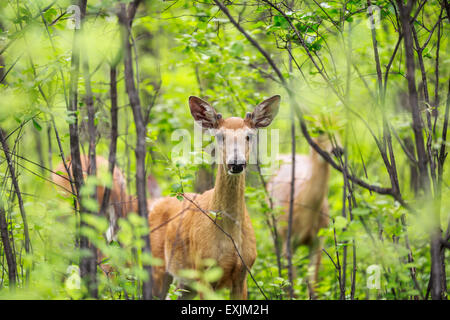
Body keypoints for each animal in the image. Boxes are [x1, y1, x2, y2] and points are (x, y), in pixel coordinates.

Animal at [148, 94, 282, 298]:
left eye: (249, 135)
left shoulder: (242, 274)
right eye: (220, 136)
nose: (236, 163)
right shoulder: (204, 272)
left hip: (186, 283)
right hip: (157, 266)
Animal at [268, 132, 342, 298]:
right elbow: (293, 288)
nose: (338, 149)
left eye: (340, 131)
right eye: (319, 132)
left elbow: (313, 286)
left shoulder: (318, 240)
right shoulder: (288, 241)